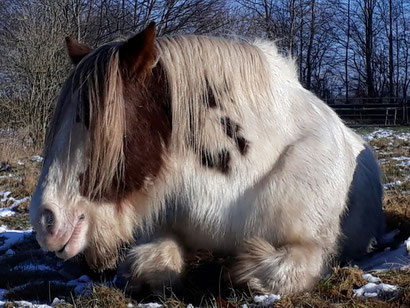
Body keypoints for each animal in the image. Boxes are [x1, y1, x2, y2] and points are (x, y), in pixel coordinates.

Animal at [30, 22, 386, 294]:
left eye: (97, 122)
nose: (46, 219)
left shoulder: (310, 249)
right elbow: (155, 265)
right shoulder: (158, 228)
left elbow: (269, 271)